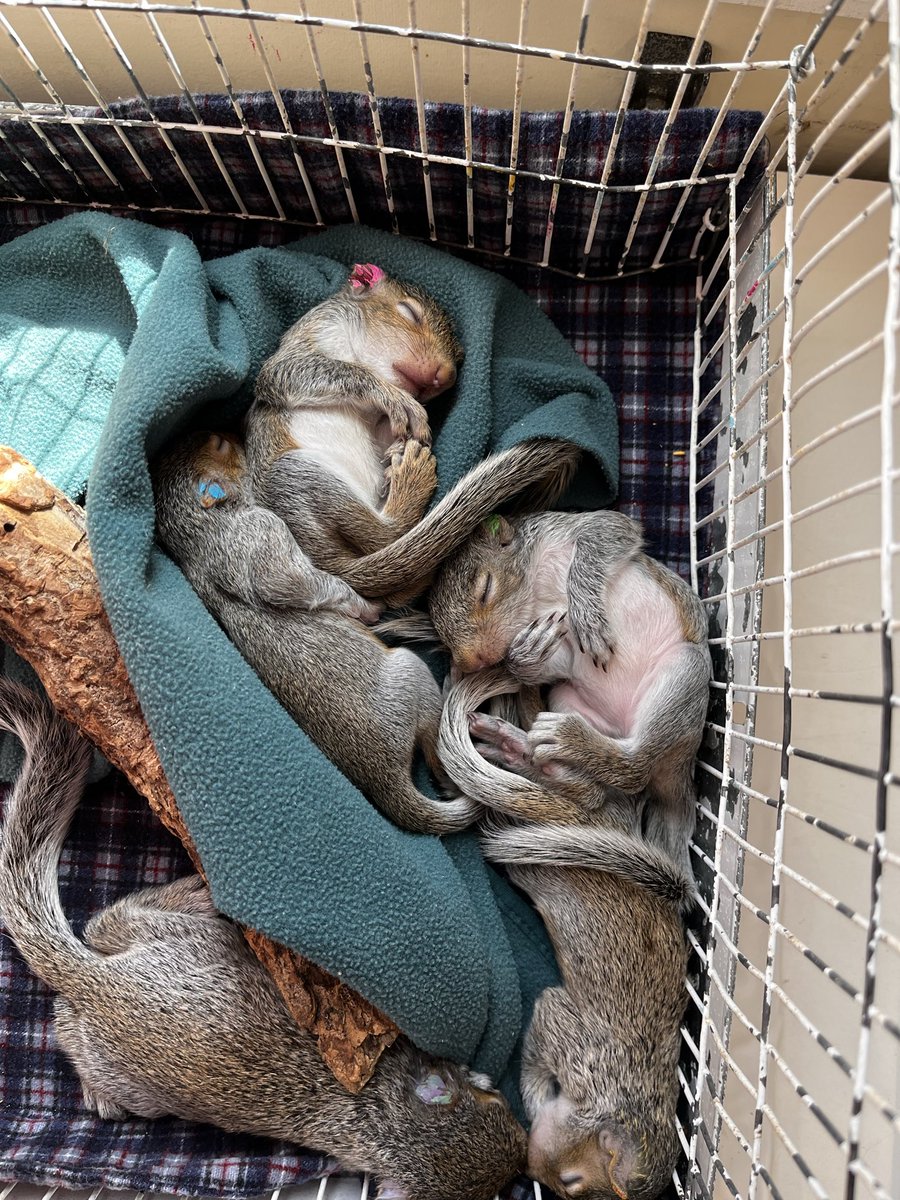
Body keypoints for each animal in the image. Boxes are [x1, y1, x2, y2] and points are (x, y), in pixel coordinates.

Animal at [0, 680, 528, 1200]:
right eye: (493, 1102)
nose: (524, 1151)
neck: (379, 1120)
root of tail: (92, 984)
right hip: (195, 943)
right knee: (106, 923)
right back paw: (191, 894)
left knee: (75, 988)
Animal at [151, 431, 477, 836]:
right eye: (218, 445)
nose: (231, 431)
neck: (200, 538)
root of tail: (383, 778)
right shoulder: (260, 531)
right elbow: (287, 581)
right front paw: (361, 605)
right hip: (409, 674)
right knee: (434, 747)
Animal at [244, 261, 583, 603]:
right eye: (409, 311)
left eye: (460, 358)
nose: (446, 376)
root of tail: (322, 562)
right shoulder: (305, 341)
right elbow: (298, 372)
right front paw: (394, 398)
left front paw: (399, 438)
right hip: (297, 477)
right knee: (384, 533)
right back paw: (412, 478)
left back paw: (398, 469)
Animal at [427, 510, 712, 879]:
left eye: (485, 589)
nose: (469, 662)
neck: (537, 594)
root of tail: (678, 773)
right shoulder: (560, 655)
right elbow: (543, 664)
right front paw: (524, 655)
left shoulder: (575, 527)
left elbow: (604, 537)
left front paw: (585, 614)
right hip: (567, 699)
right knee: (593, 789)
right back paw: (518, 748)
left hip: (684, 674)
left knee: (633, 768)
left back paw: (565, 738)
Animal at [438, 668, 692, 1200]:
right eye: (573, 1181)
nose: (529, 1168)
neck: (630, 1091)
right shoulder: (568, 1034)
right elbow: (538, 1047)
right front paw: (533, 1100)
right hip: (564, 817)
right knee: (571, 785)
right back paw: (515, 747)